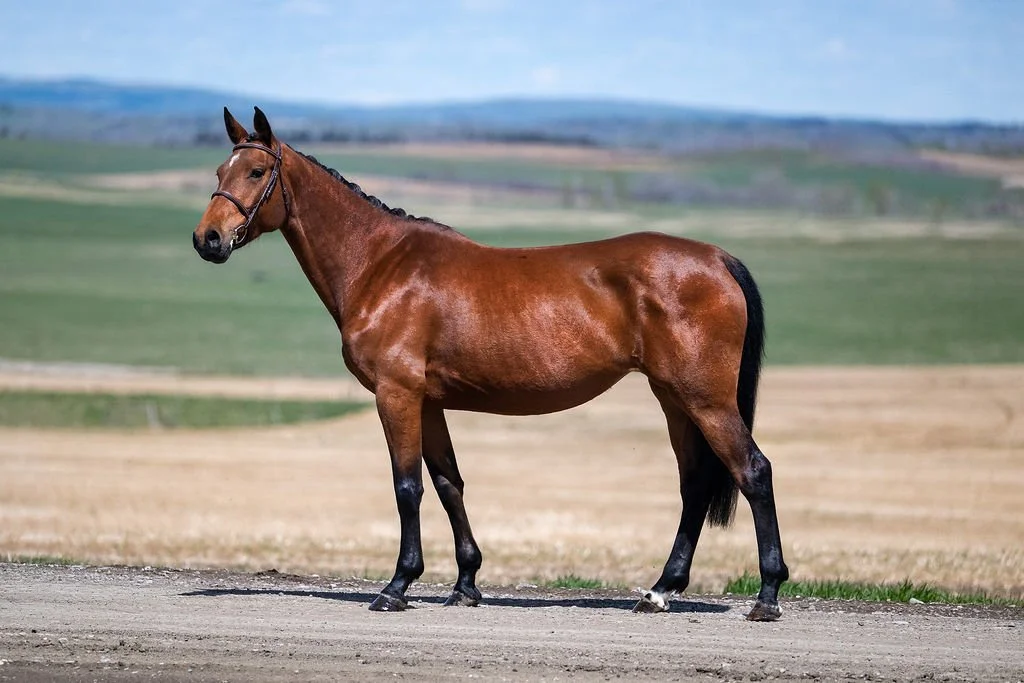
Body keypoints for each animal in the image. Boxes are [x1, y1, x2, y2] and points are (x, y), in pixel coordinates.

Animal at [192, 107, 789, 621]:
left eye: (256, 170)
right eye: (221, 170)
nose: (207, 239)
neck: (381, 265)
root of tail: (717, 258)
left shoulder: (396, 394)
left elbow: (407, 486)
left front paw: (397, 586)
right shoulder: (428, 402)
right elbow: (448, 483)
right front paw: (465, 584)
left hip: (705, 399)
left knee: (753, 471)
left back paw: (766, 595)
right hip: (675, 400)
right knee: (694, 485)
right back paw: (662, 590)